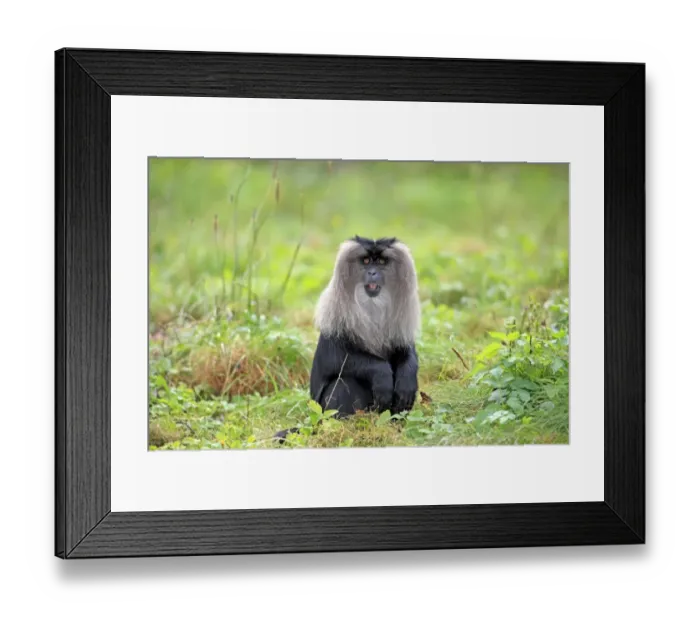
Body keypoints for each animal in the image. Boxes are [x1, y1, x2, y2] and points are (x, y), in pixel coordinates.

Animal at [274, 236, 421, 442]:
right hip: (324, 413)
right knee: (344, 382)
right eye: (366, 261)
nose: (372, 272)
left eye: (381, 262)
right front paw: (382, 375)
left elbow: (407, 358)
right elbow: (335, 359)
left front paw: (406, 379)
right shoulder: (335, 319)